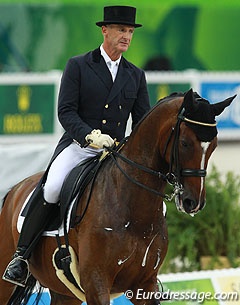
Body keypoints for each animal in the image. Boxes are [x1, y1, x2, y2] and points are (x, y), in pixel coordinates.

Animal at [0, 88, 236, 304]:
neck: (133, 209)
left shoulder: (144, 284)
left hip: (65, 293)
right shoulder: (96, 282)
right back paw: (16, 265)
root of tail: (15, 189)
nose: (193, 202)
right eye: (185, 143)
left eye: (214, 146)